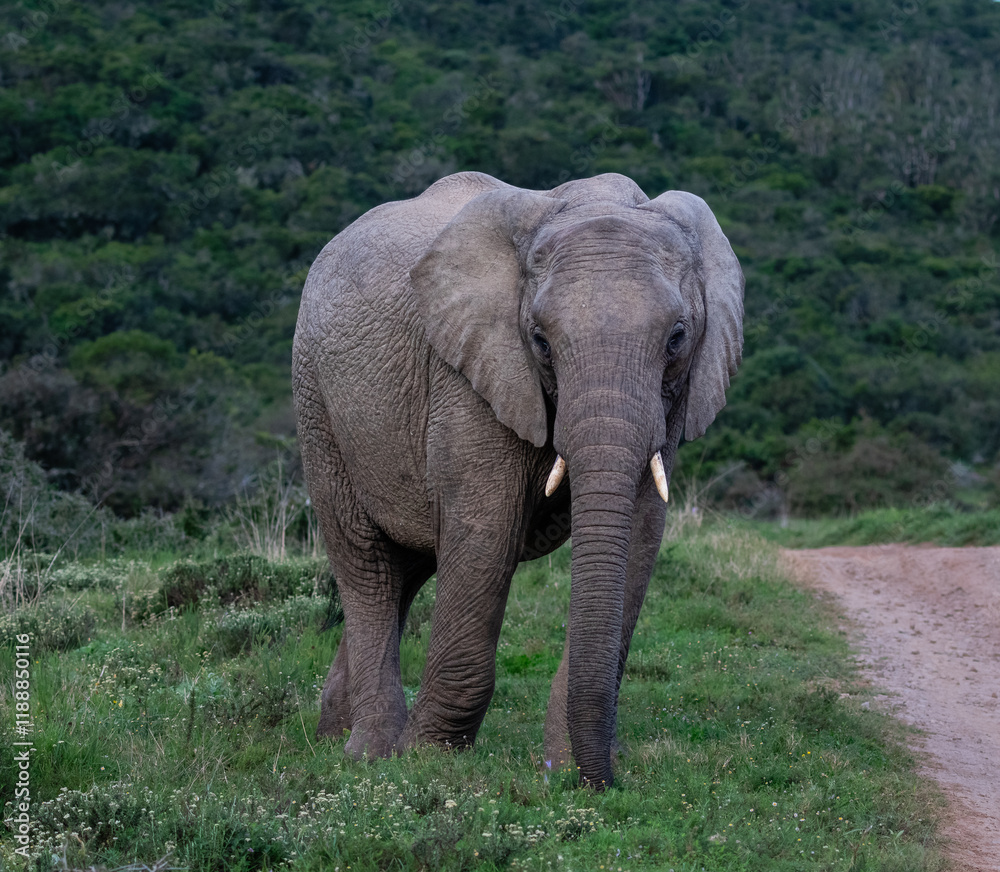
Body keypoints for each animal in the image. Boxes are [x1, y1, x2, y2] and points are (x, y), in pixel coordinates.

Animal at [292, 171, 744, 788]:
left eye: (677, 337)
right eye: (541, 341)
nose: (604, 785)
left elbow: (640, 535)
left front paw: (565, 766)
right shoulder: (468, 375)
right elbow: (485, 531)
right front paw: (428, 761)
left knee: (408, 569)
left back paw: (331, 735)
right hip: (317, 402)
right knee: (368, 564)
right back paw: (370, 754)